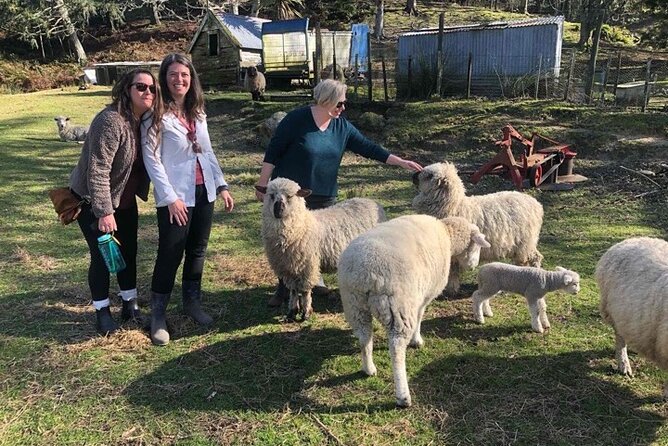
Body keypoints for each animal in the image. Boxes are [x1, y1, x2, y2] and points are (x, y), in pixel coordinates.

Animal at [256, 177, 386, 320]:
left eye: (290, 196)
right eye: (271, 195)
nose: (278, 210)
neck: (301, 226)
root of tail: (372, 202)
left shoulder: (307, 266)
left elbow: (305, 291)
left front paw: (306, 312)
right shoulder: (288, 268)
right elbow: (294, 291)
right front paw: (292, 312)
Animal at [340, 214, 490, 406]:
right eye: (477, 246)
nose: (474, 265)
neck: (446, 233)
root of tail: (365, 273)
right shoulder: (423, 296)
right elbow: (419, 317)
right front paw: (417, 340)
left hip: (354, 305)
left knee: (364, 337)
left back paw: (368, 368)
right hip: (399, 307)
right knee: (396, 348)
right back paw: (403, 396)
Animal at [410, 162, 544, 294]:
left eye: (430, 176)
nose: (413, 175)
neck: (454, 206)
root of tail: (536, 204)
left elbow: (452, 270)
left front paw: (451, 288)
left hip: (525, 242)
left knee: (531, 259)